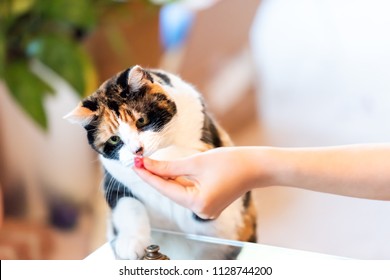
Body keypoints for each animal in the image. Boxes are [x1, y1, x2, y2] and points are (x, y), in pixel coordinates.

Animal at [65, 65, 258, 260]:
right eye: (114, 139)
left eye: (141, 120)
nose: (137, 150)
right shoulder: (114, 183)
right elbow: (129, 207)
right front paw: (130, 243)